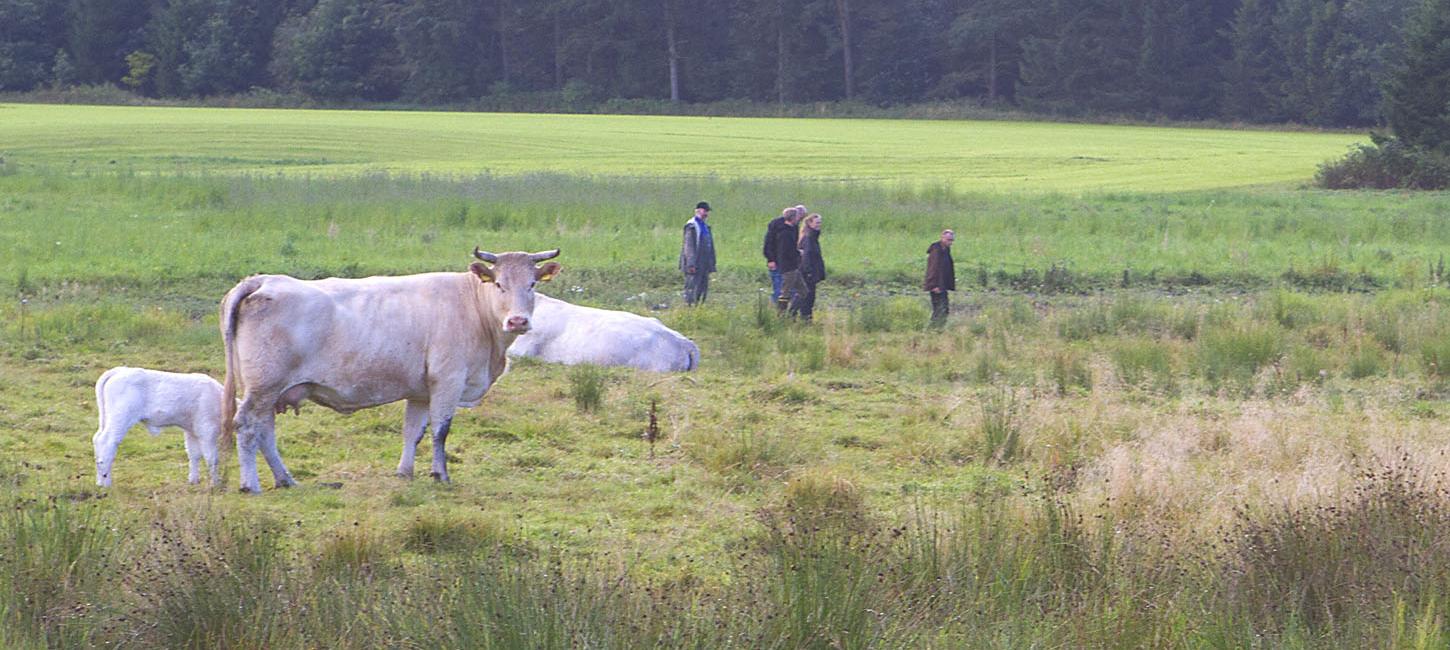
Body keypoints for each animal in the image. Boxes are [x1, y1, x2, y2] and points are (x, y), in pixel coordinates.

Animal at [93, 365, 224, 487]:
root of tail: (120, 370)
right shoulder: (207, 430)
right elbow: (212, 457)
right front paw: (215, 484)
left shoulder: (191, 430)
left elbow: (194, 454)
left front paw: (193, 481)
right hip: (120, 418)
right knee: (107, 442)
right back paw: (106, 483)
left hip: (107, 418)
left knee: (97, 439)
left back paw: (100, 481)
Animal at [220, 249, 559, 493]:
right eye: (500, 284)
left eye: (532, 285)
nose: (518, 321)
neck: (473, 307)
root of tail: (263, 280)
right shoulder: (448, 380)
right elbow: (440, 431)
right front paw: (441, 474)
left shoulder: (421, 391)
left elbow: (413, 431)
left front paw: (405, 473)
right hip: (264, 386)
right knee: (248, 426)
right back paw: (251, 484)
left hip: (268, 390)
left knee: (265, 430)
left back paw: (286, 479)